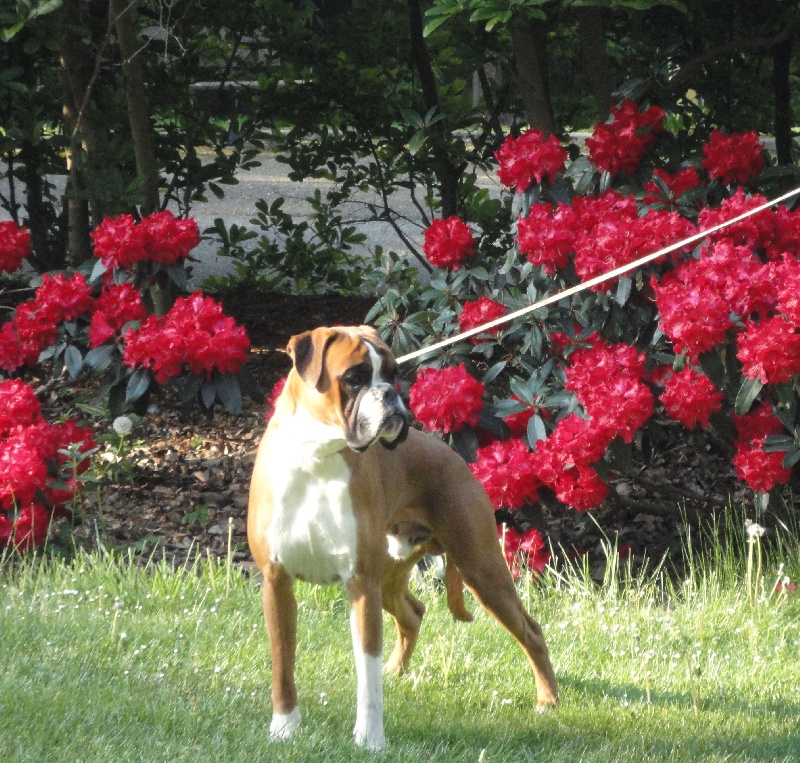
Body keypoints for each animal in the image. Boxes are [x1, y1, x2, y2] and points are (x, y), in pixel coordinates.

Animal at [247, 326, 560, 748]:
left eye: (393, 373)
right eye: (354, 377)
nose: (391, 396)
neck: (317, 457)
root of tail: (454, 456)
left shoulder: (362, 584)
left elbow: (367, 675)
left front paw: (369, 739)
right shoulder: (277, 582)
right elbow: (283, 661)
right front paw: (284, 727)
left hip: (481, 570)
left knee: (531, 631)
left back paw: (548, 698)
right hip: (392, 575)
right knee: (413, 613)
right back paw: (396, 670)